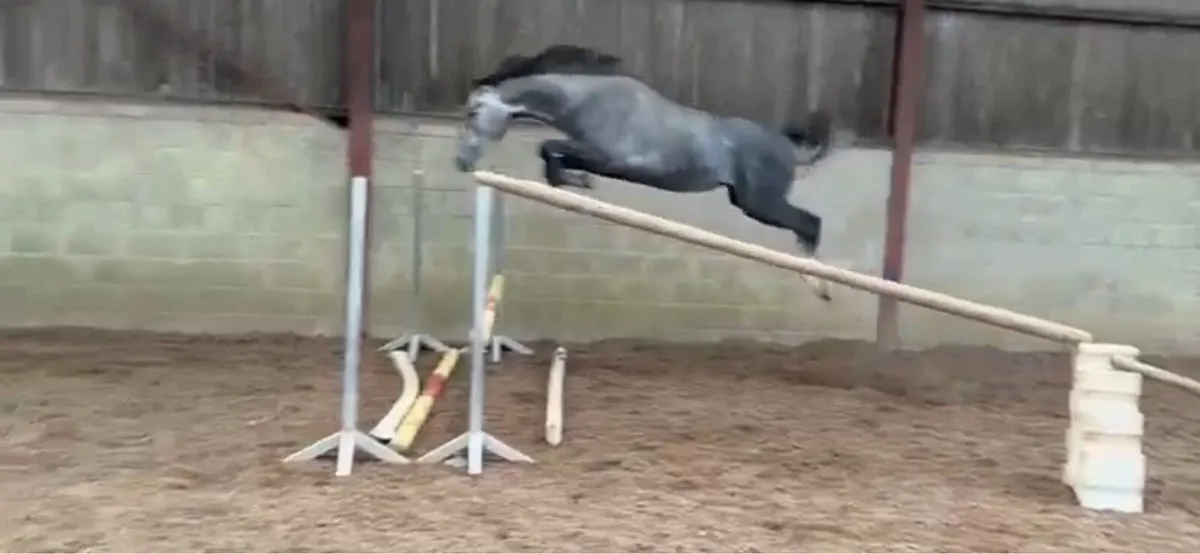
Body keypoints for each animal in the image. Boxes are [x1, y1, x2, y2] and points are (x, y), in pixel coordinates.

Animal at [454, 45, 836, 301]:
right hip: (748, 201)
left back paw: (818, 285)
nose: (461, 162)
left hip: (760, 203)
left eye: (473, 113)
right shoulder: (599, 159)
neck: (588, 100)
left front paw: (572, 182)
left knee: (810, 224)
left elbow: (549, 147)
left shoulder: (611, 158)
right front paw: (575, 183)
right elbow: (553, 155)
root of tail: (788, 146)